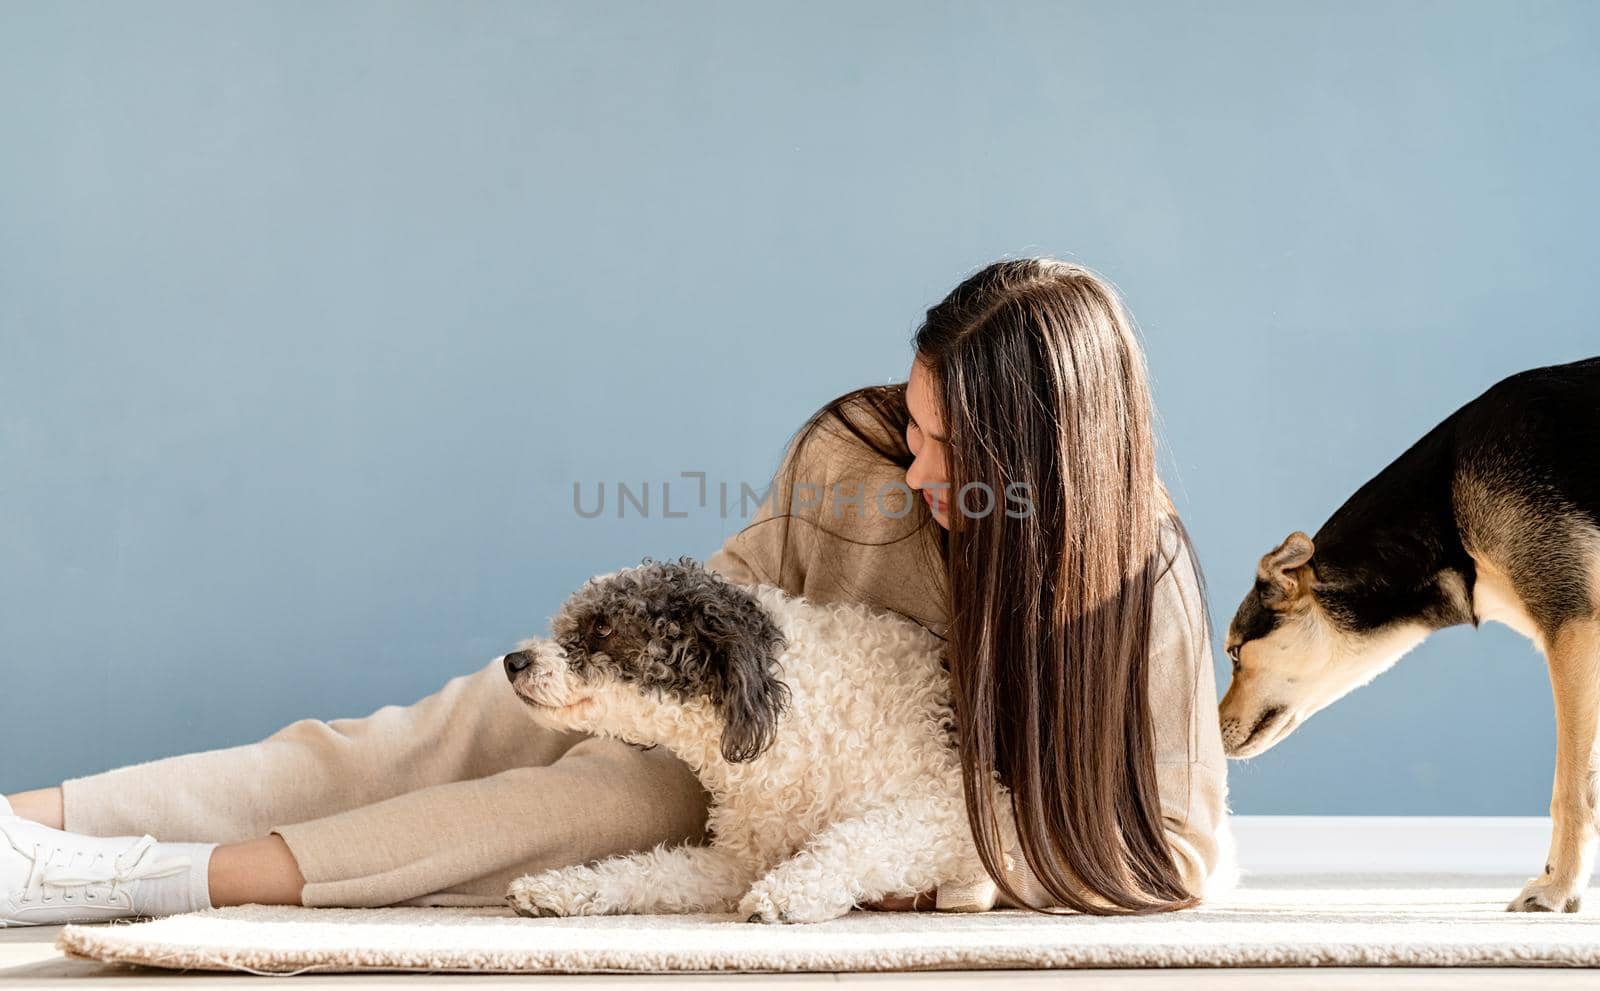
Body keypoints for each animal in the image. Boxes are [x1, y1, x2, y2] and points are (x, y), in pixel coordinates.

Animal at [496, 557, 1011, 922]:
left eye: (602, 626)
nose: (513, 661)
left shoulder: (954, 810)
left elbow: (856, 839)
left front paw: (787, 893)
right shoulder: (743, 860)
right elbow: (649, 870)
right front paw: (559, 889)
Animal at [1216, 357, 1593, 915]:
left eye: (1236, 653)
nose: (1208, 728)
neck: (1447, 510)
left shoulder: (1572, 626)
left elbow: (1572, 789)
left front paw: (1556, 889)